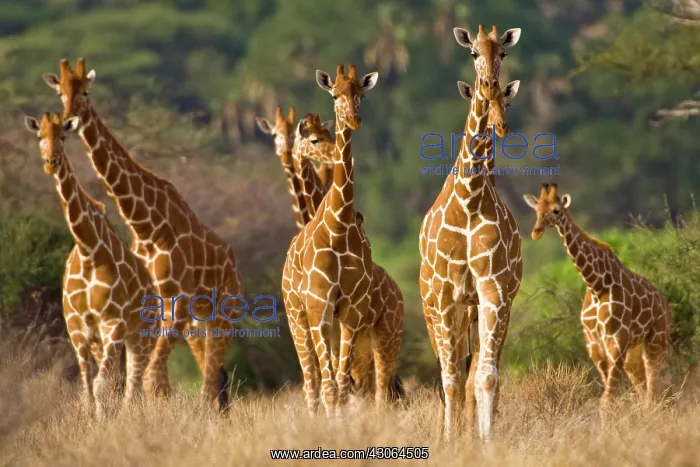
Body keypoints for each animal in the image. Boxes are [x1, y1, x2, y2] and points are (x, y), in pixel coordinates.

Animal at [23, 112, 159, 419]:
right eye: (40, 136)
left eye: (63, 136)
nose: (50, 162)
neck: (88, 250)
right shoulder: (77, 326)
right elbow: (88, 388)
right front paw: (93, 420)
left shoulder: (113, 322)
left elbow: (100, 385)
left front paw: (103, 424)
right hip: (107, 340)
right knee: (120, 381)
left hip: (142, 335)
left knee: (134, 384)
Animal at [43, 58, 243, 411]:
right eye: (60, 92)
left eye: (85, 91)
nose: (69, 120)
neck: (146, 225)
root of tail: (232, 260)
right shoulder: (158, 309)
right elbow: (151, 382)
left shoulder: (174, 303)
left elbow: (151, 380)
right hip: (197, 323)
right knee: (213, 378)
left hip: (224, 313)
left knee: (209, 381)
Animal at [281, 64, 379, 415]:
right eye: (335, 94)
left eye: (361, 94)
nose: (353, 120)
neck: (338, 226)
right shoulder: (318, 306)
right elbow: (328, 387)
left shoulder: (350, 310)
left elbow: (341, 386)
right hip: (296, 314)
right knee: (311, 384)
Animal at [523, 183, 671, 420]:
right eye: (536, 210)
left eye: (556, 210)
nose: (536, 232)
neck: (596, 284)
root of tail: (664, 303)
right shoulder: (593, 343)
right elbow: (610, 398)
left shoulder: (617, 339)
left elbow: (609, 400)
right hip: (635, 351)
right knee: (646, 389)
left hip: (657, 339)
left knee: (656, 388)